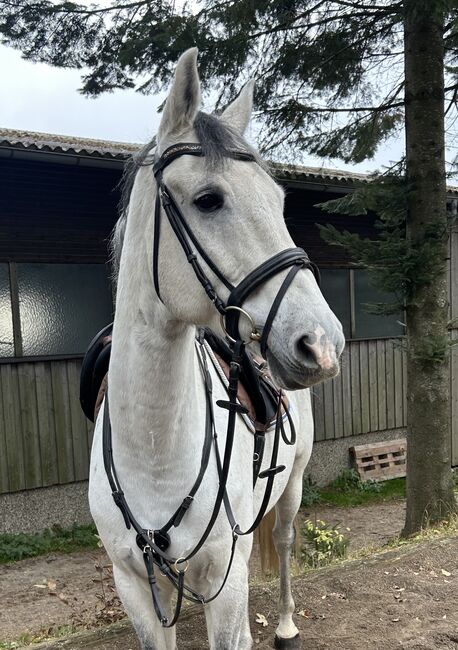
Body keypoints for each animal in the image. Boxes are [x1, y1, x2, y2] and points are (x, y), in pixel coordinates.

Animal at [88, 46, 344, 648]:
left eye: (279, 200)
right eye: (208, 199)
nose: (323, 343)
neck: (152, 448)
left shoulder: (225, 582)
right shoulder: (135, 587)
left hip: (291, 492)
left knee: (286, 544)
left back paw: (285, 624)